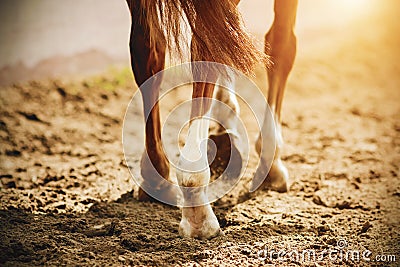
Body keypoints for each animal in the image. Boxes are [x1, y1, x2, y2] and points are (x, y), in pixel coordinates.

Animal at [125, 0, 296, 239]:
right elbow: (281, 44)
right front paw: (271, 163)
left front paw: (226, 110)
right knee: (205, 47)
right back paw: (196, 205)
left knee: (149, 48)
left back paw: (156, 174)